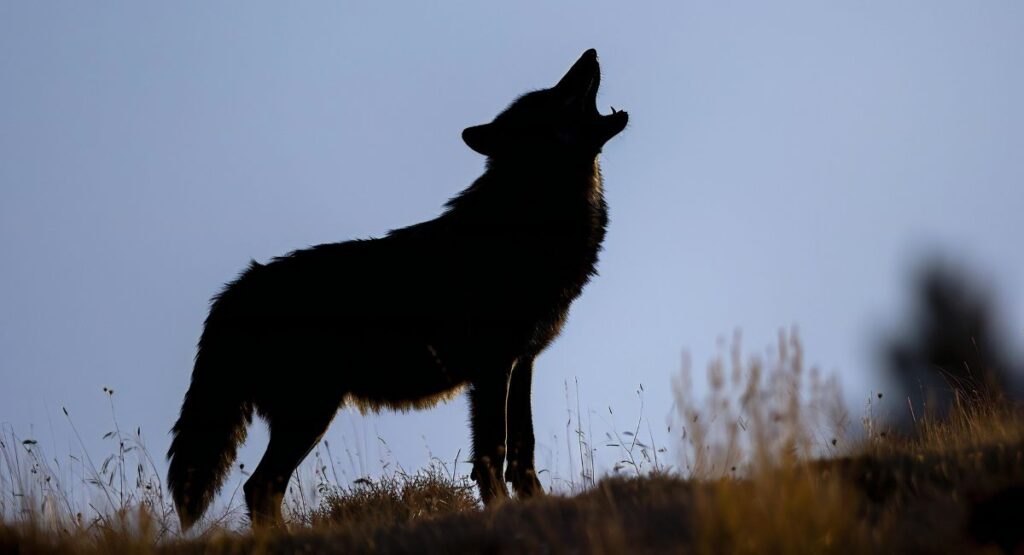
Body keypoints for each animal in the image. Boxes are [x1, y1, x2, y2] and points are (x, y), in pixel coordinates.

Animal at [167, 49, 627, 529]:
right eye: (553, 94)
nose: (590, 52)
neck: (530, 221)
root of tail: (235, 290)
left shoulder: (524, 363)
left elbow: (524, 451)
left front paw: (535, 506)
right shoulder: (493, 368)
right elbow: (493, 452)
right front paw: (500, 510)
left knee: (261, 487)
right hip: (310, 413)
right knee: (259, 486)